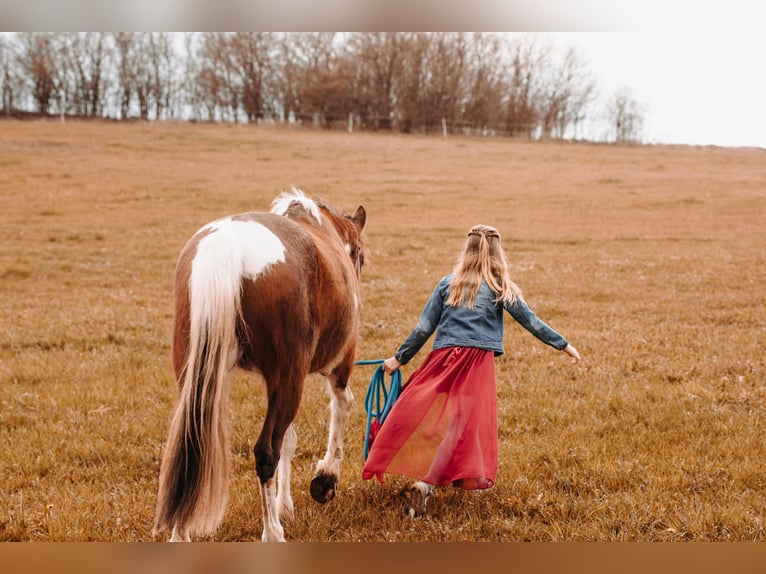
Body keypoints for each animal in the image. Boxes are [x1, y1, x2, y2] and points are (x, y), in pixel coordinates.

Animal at [154, 190, 368, 544]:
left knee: (192, 442)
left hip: (197, 375)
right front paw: (326, 478)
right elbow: (342, 406)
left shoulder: (276, 381)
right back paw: (272, 532)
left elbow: (290, 440)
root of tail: (225, 244)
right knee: (267, 451)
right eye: (361, 257)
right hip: (291, 378)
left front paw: (285, 505)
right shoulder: (336, 361)